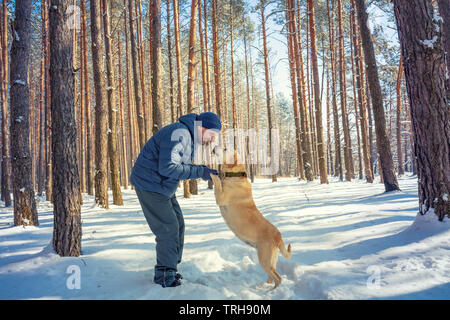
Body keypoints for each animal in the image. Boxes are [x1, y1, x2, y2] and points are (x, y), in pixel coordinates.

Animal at [210, 148, 292, 290]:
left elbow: (217, 181)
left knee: (278, 278)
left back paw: (270, 292)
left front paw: (210, 171)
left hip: (264, 259)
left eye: (225, 149)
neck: (234, 175)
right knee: (271, 277)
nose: (214, 147)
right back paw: (263, 286)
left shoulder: (220, 197)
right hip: (269, 260)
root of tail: (279, 235)